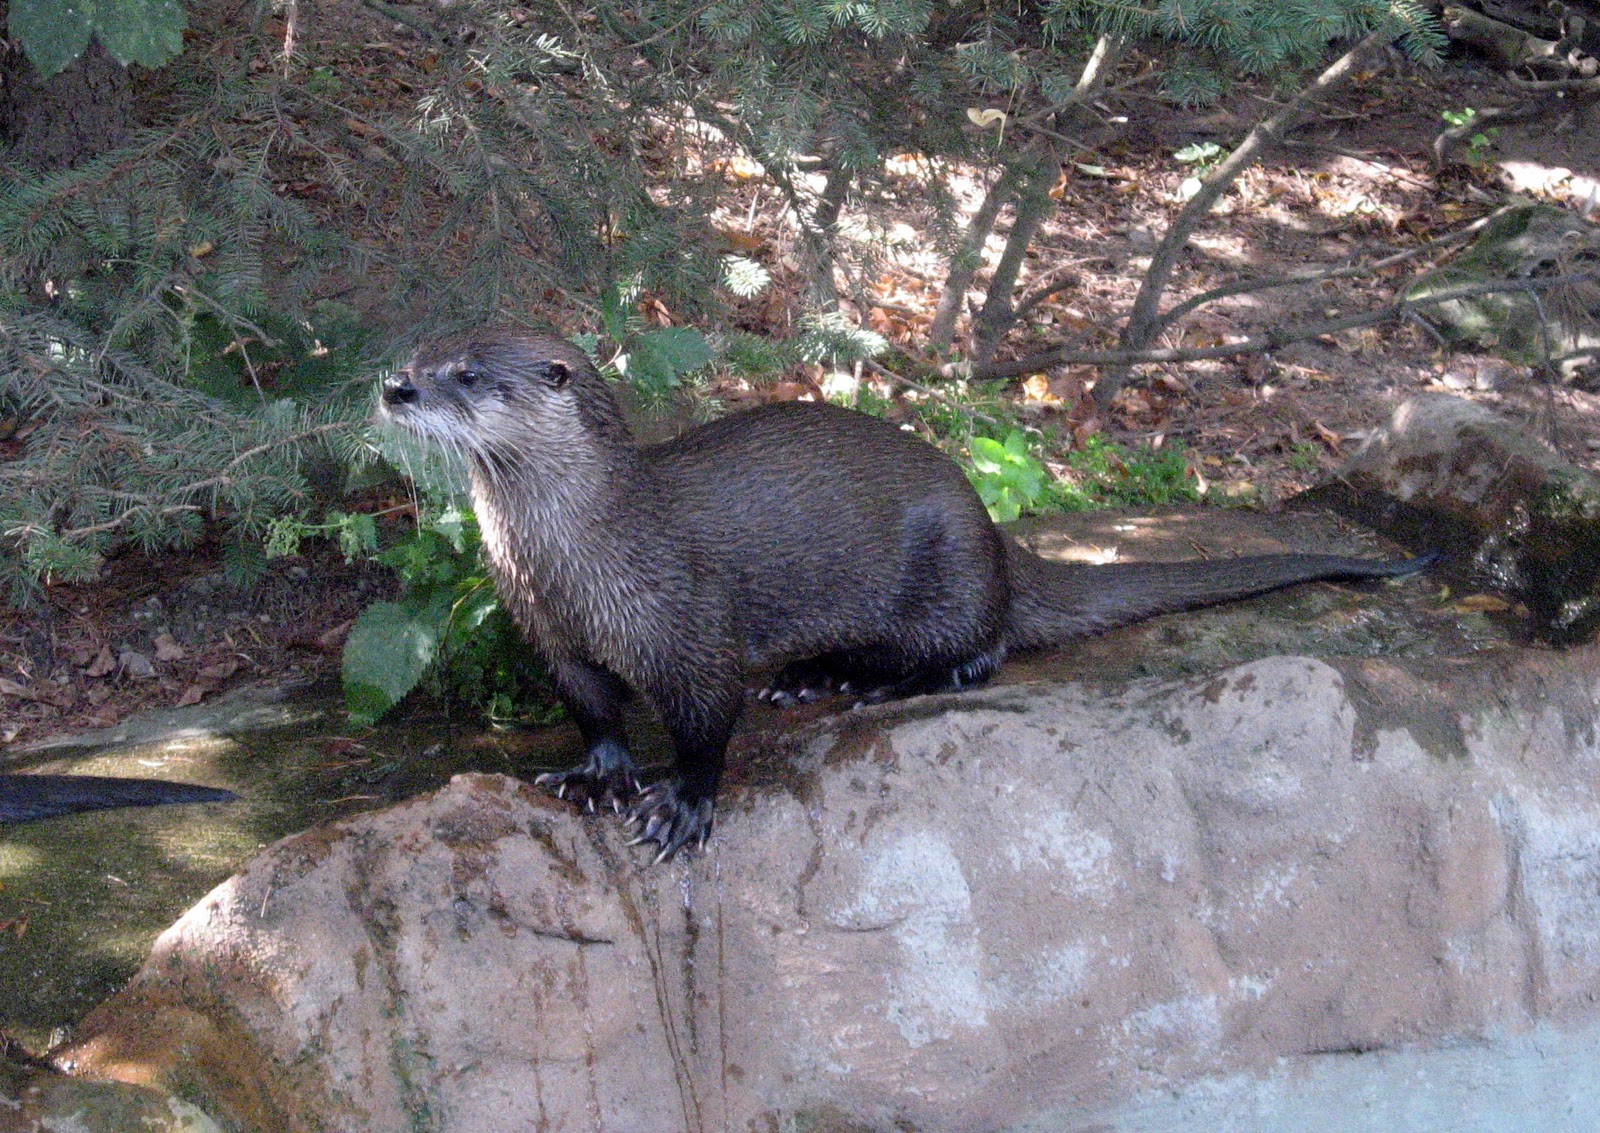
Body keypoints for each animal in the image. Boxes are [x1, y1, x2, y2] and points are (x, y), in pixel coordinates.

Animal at [379, 328, 1431, 861]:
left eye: (466, 374)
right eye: (423, 351)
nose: (395, 385)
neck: (580, 554)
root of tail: (996, 529)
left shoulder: (688, 626)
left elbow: (707, 722)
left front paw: (680, 806)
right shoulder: (552, 637)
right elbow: (594, 709)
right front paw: (597, 775)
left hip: (950, 571)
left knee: (984, 645)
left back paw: (889, 684)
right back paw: (815, 678)